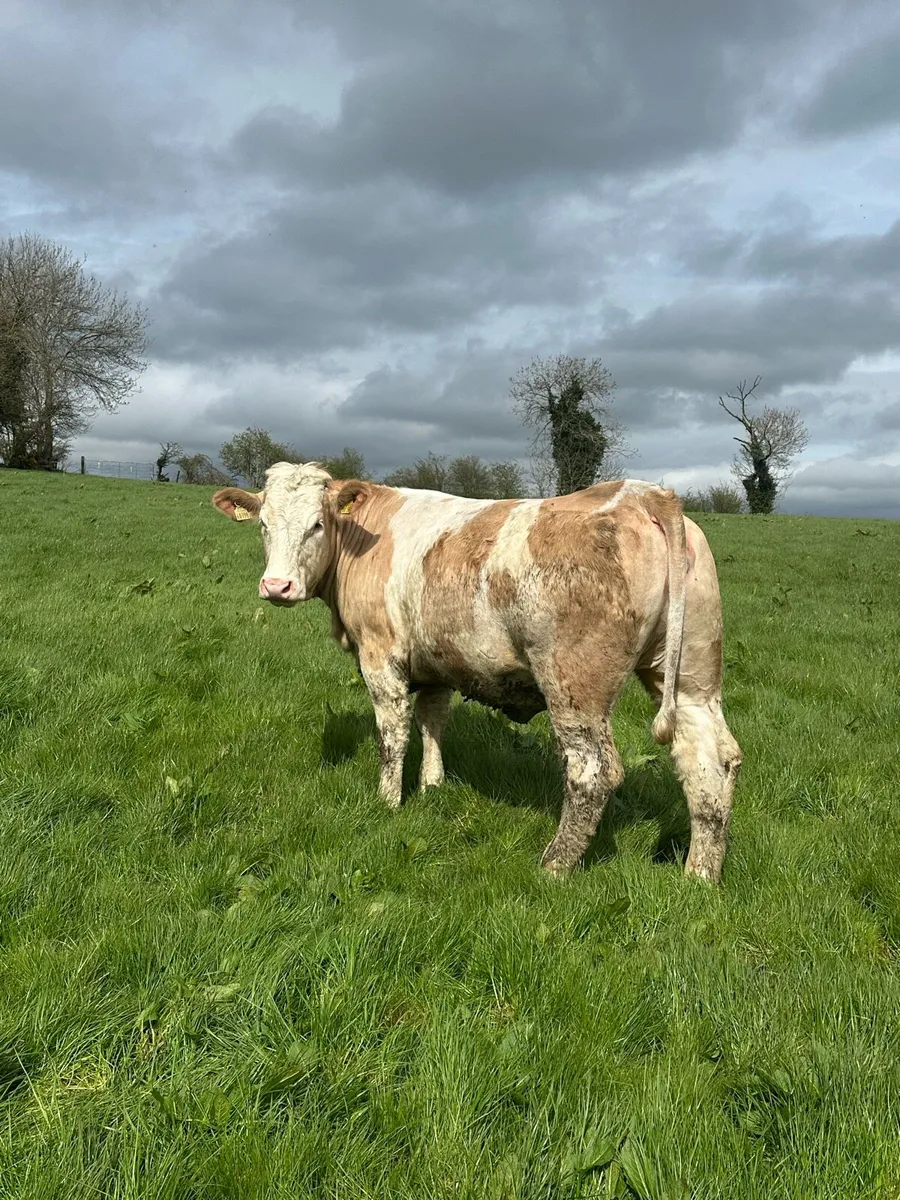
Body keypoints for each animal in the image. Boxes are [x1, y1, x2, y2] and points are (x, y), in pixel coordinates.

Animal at [213, 463, 741, 882]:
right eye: (263, 525)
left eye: (318, 524)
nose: (276, 586)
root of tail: (642, 493)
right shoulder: (435, 663)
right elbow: (432, 721)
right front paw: (432, 786)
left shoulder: (381, 656)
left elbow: (392, 736)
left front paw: (387, 803)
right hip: (692, 678)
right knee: (709, 761)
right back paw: (698, 876)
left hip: (574, 684)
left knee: (593, 771)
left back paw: (553, 866)